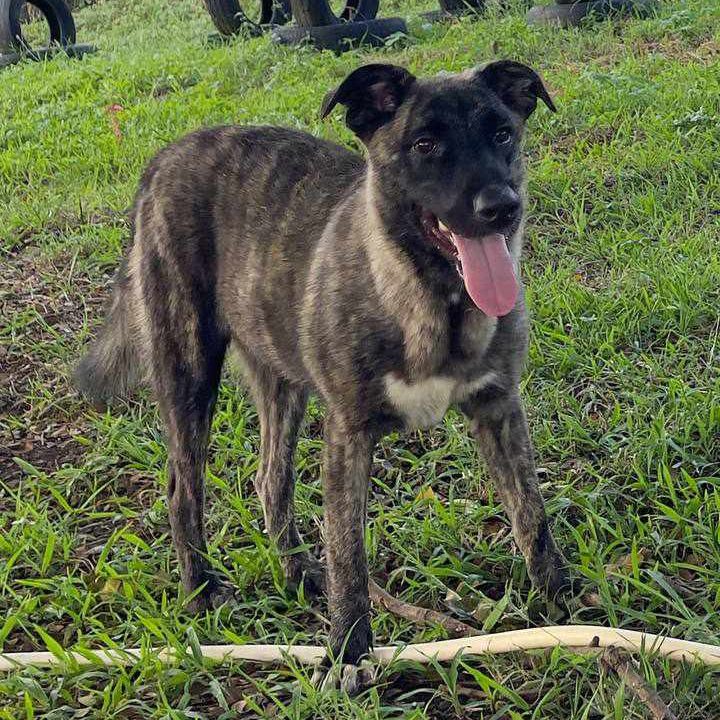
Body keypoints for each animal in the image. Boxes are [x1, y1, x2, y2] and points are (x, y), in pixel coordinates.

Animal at [75, 60, 569, 691]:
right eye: (425, 145)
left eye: (503, 133)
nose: (501, 207)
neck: (432, 298)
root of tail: (165, 155)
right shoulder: (348, 434)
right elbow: (349, 554)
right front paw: (349, 650)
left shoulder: (500, 408)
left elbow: (532, 513)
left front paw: (563, 604)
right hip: (187, 371)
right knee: (184, 491)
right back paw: (200, 589)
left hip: (280, 378)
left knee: (270, 478)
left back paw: (293, 568)